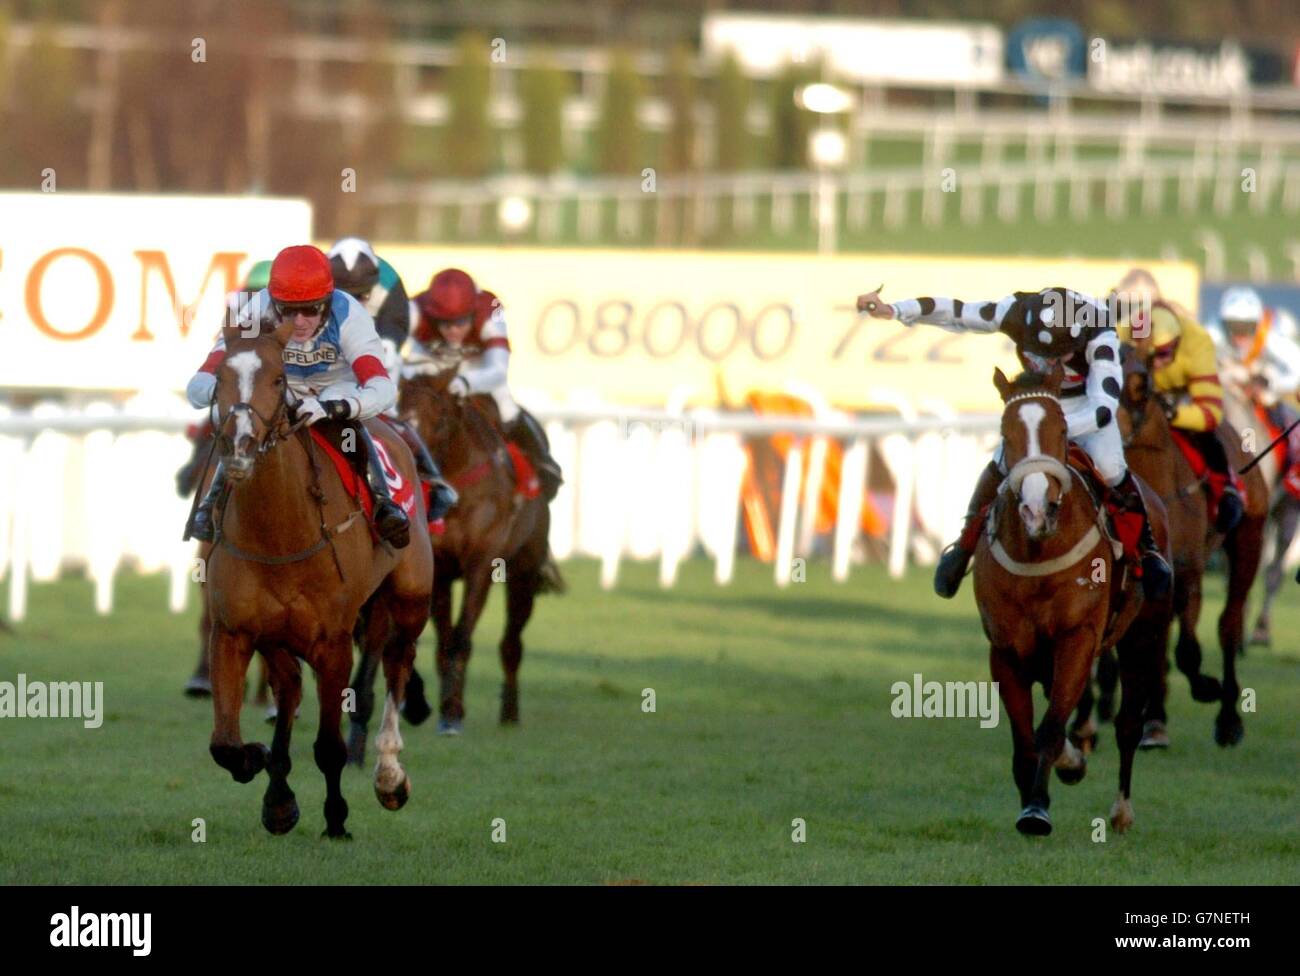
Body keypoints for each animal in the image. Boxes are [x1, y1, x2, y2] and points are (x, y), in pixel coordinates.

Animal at [204, 322, 431, 842]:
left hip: (411, 599)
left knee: (398, 663)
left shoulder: (333, 642)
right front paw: (259, 763)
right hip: (277, 636)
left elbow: (330, 746)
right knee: (289, 686)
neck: (280, 533)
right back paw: (278, 796)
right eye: (222, 378)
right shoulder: (234, 631)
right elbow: (223, 743)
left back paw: (389, 774)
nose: (239, 447)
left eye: (276, 379)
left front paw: (337, 820)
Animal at [392, 366, 561, 732]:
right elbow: (443, 642)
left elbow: (461, 638)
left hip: (524, 572)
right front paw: (447, 707)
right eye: (399, 413)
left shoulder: (481, 566)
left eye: (440, 418)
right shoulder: (440, 572)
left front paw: (452, 712)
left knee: (512, 643)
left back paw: (510, 713)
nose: (411, 460)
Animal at [1107, 350, 1268, 748]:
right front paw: (1153, 718)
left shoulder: (1189, 569)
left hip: (1249, 539)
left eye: (1142, 384)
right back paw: (1156, 720)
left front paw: (1208, 688)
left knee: (1228, 624)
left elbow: (1188, 650)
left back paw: (1228, 720)